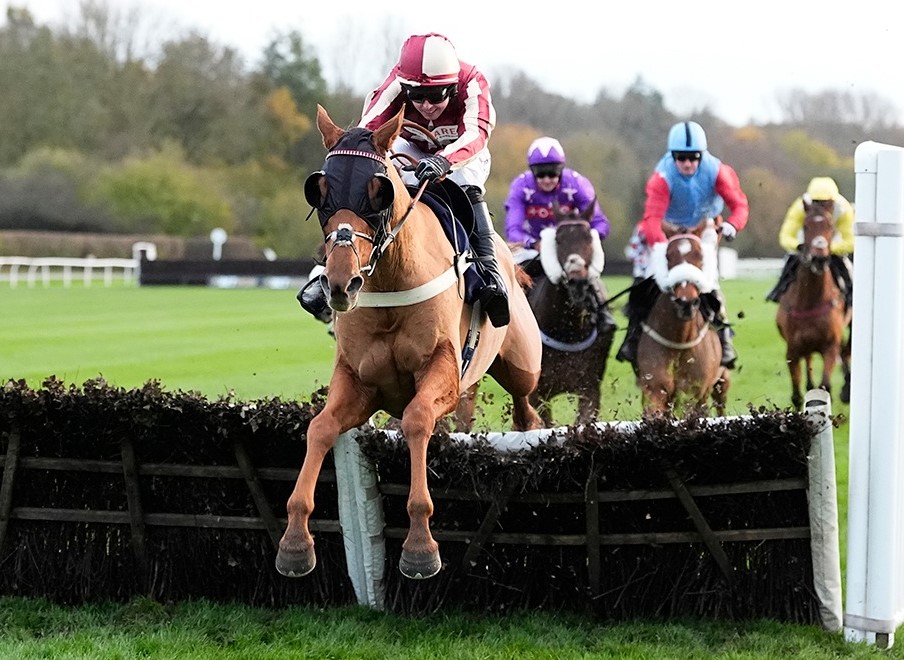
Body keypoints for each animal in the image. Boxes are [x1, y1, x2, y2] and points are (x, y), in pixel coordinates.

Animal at [274, 105, 544, 580]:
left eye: (377, 190)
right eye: (319, 190)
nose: (342, 283)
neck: (390, 281)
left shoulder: (443, 373)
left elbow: (419, 420)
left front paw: (420, 547)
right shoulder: (359, 381)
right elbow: (320, 427)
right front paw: (294, 542)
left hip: (522, 365)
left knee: (527, 409)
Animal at [636, 219, 728, 416]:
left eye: (699, 256)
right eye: (668, 256)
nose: (686, 302)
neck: (679, 340)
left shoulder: (691, 393)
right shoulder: (654, 389)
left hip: (721, 381)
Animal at [772, 199, 852, 410]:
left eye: (830, 226)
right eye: (805, 226)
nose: (819, 258)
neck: (810, 300)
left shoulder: (829, 347)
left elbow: (825, 387)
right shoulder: (792, 350)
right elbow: (797, 396)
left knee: (846, 350)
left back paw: (846, 390)